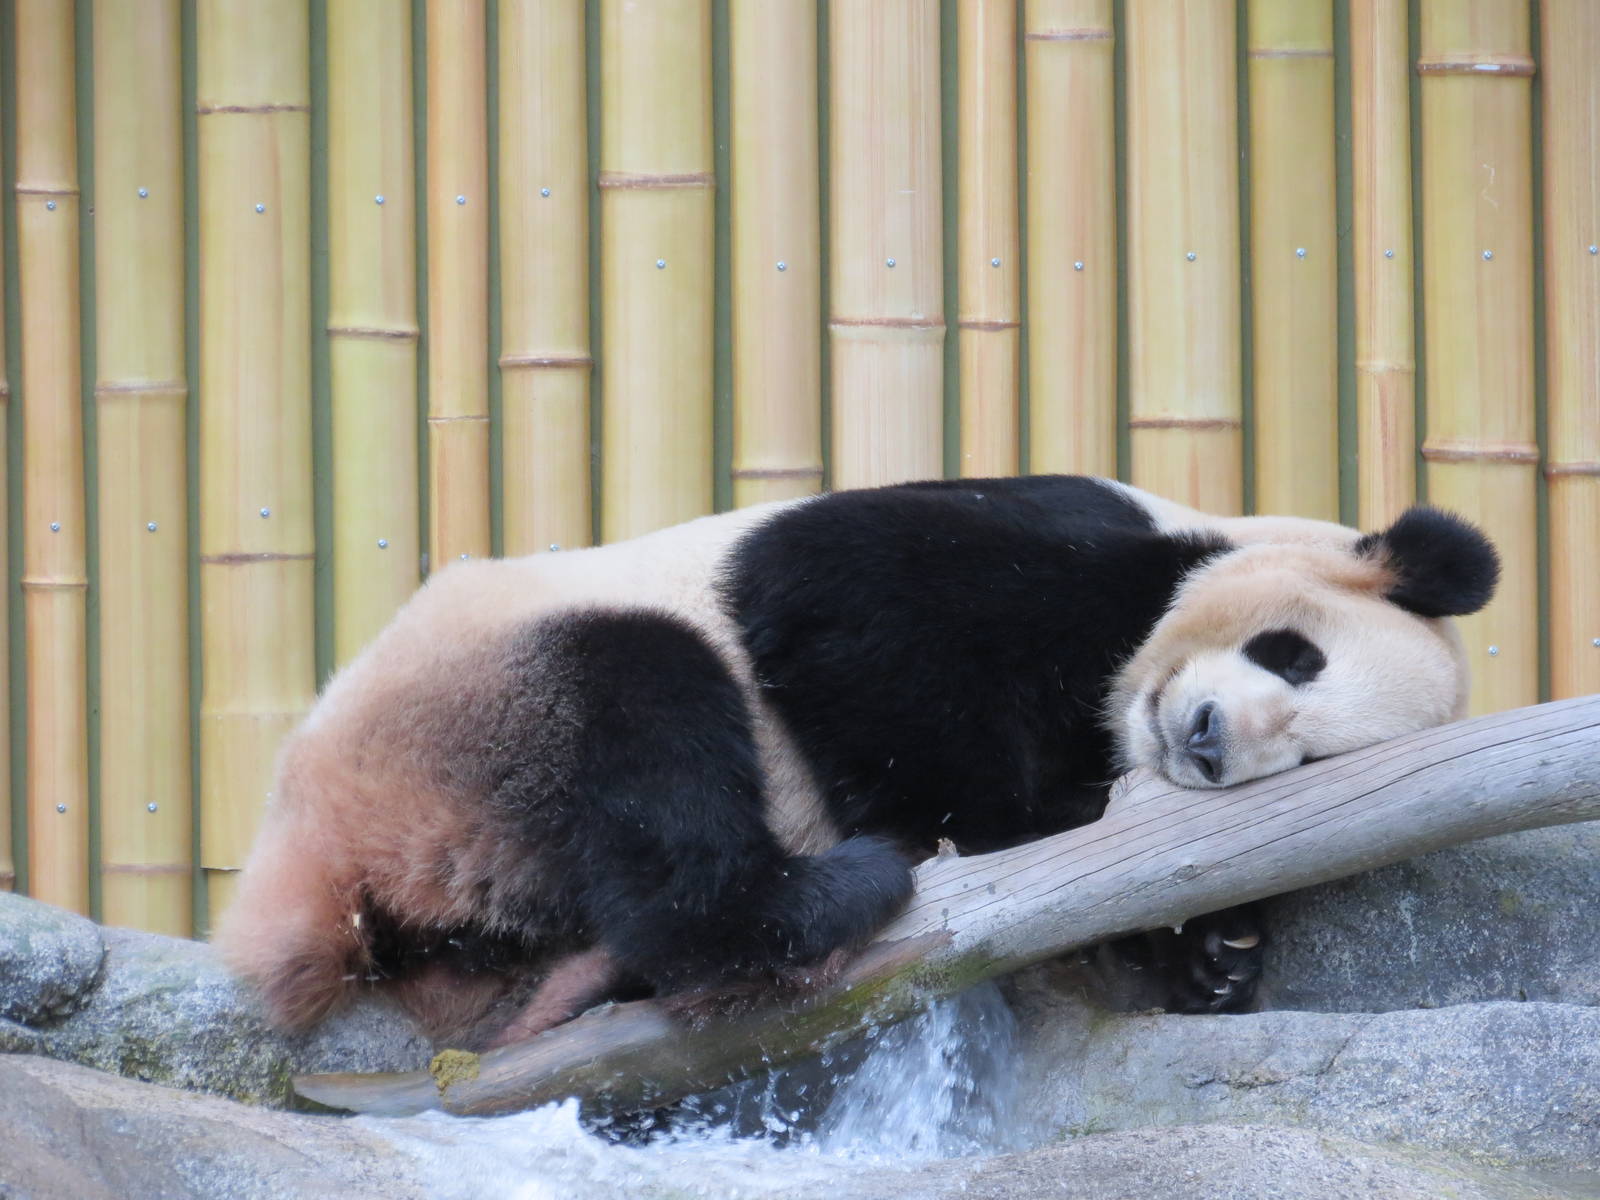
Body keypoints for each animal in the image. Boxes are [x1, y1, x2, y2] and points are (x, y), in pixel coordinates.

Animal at [215, 475, 1498, 1048]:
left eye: (1310, 752)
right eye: (1293, 654)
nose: (1207, 741)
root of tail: (316, 856)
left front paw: (1214, 951)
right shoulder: (1061, 547)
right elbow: (846, 607)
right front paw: (1008, 819)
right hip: (480, 690)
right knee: (648, 707)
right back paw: (822, 895)